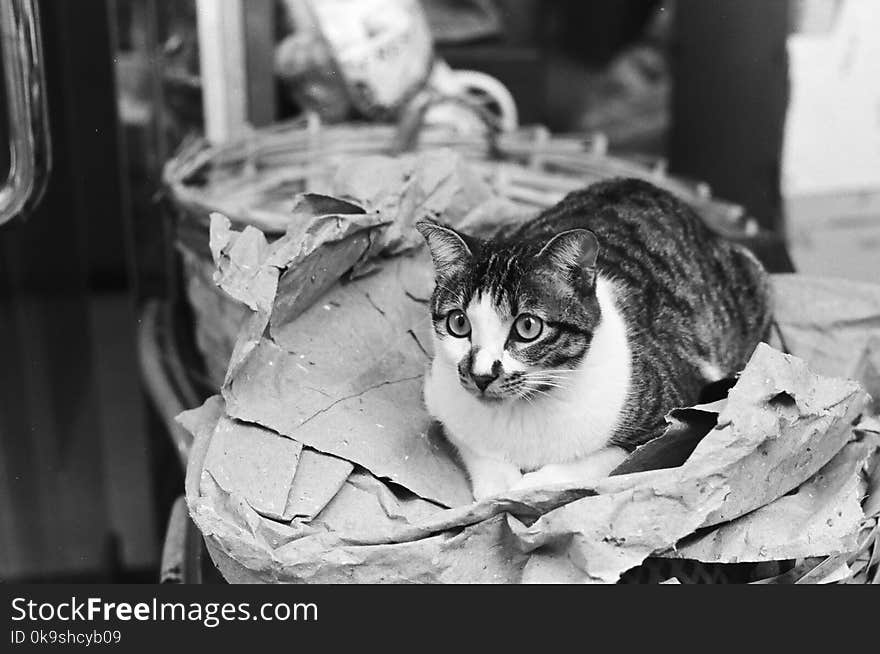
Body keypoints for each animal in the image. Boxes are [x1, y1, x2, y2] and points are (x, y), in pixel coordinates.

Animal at [418, 177, 768, 500]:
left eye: (527, 327)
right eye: (459, 323)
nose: (481, 375)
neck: (521, 411)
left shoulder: (669, 420)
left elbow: (604, 458)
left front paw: (531, 487)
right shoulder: (442, 399)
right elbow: (472, 445)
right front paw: (498, 484)